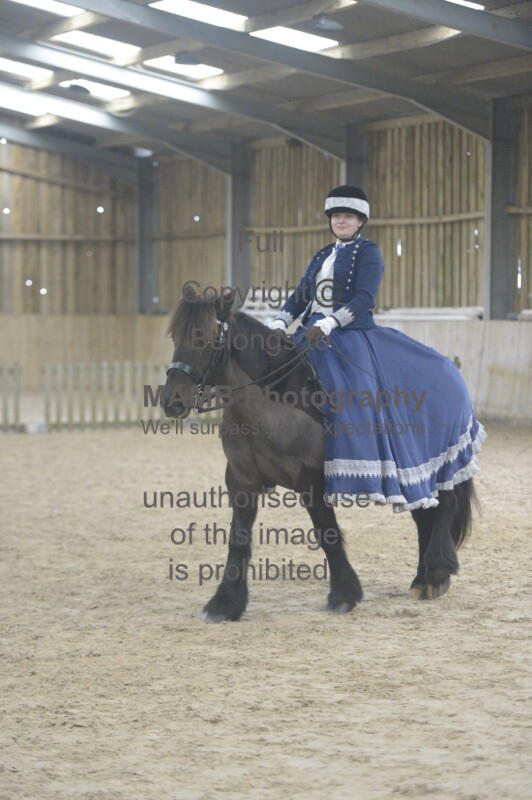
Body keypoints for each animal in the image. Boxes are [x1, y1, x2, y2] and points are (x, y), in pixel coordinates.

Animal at [162, 290, 478, 622]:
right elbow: (238, 538)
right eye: (175, 336)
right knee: (424, 516)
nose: (172, 402)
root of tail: (449, 367)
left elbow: (327, 533)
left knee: (446, 506)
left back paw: (437, 573)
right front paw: (225, 602)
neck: (273, 402)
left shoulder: (311, 481)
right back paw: (423, 578)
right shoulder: (241, 480)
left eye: (207, 338)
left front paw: (344, 594)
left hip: (437, 462)